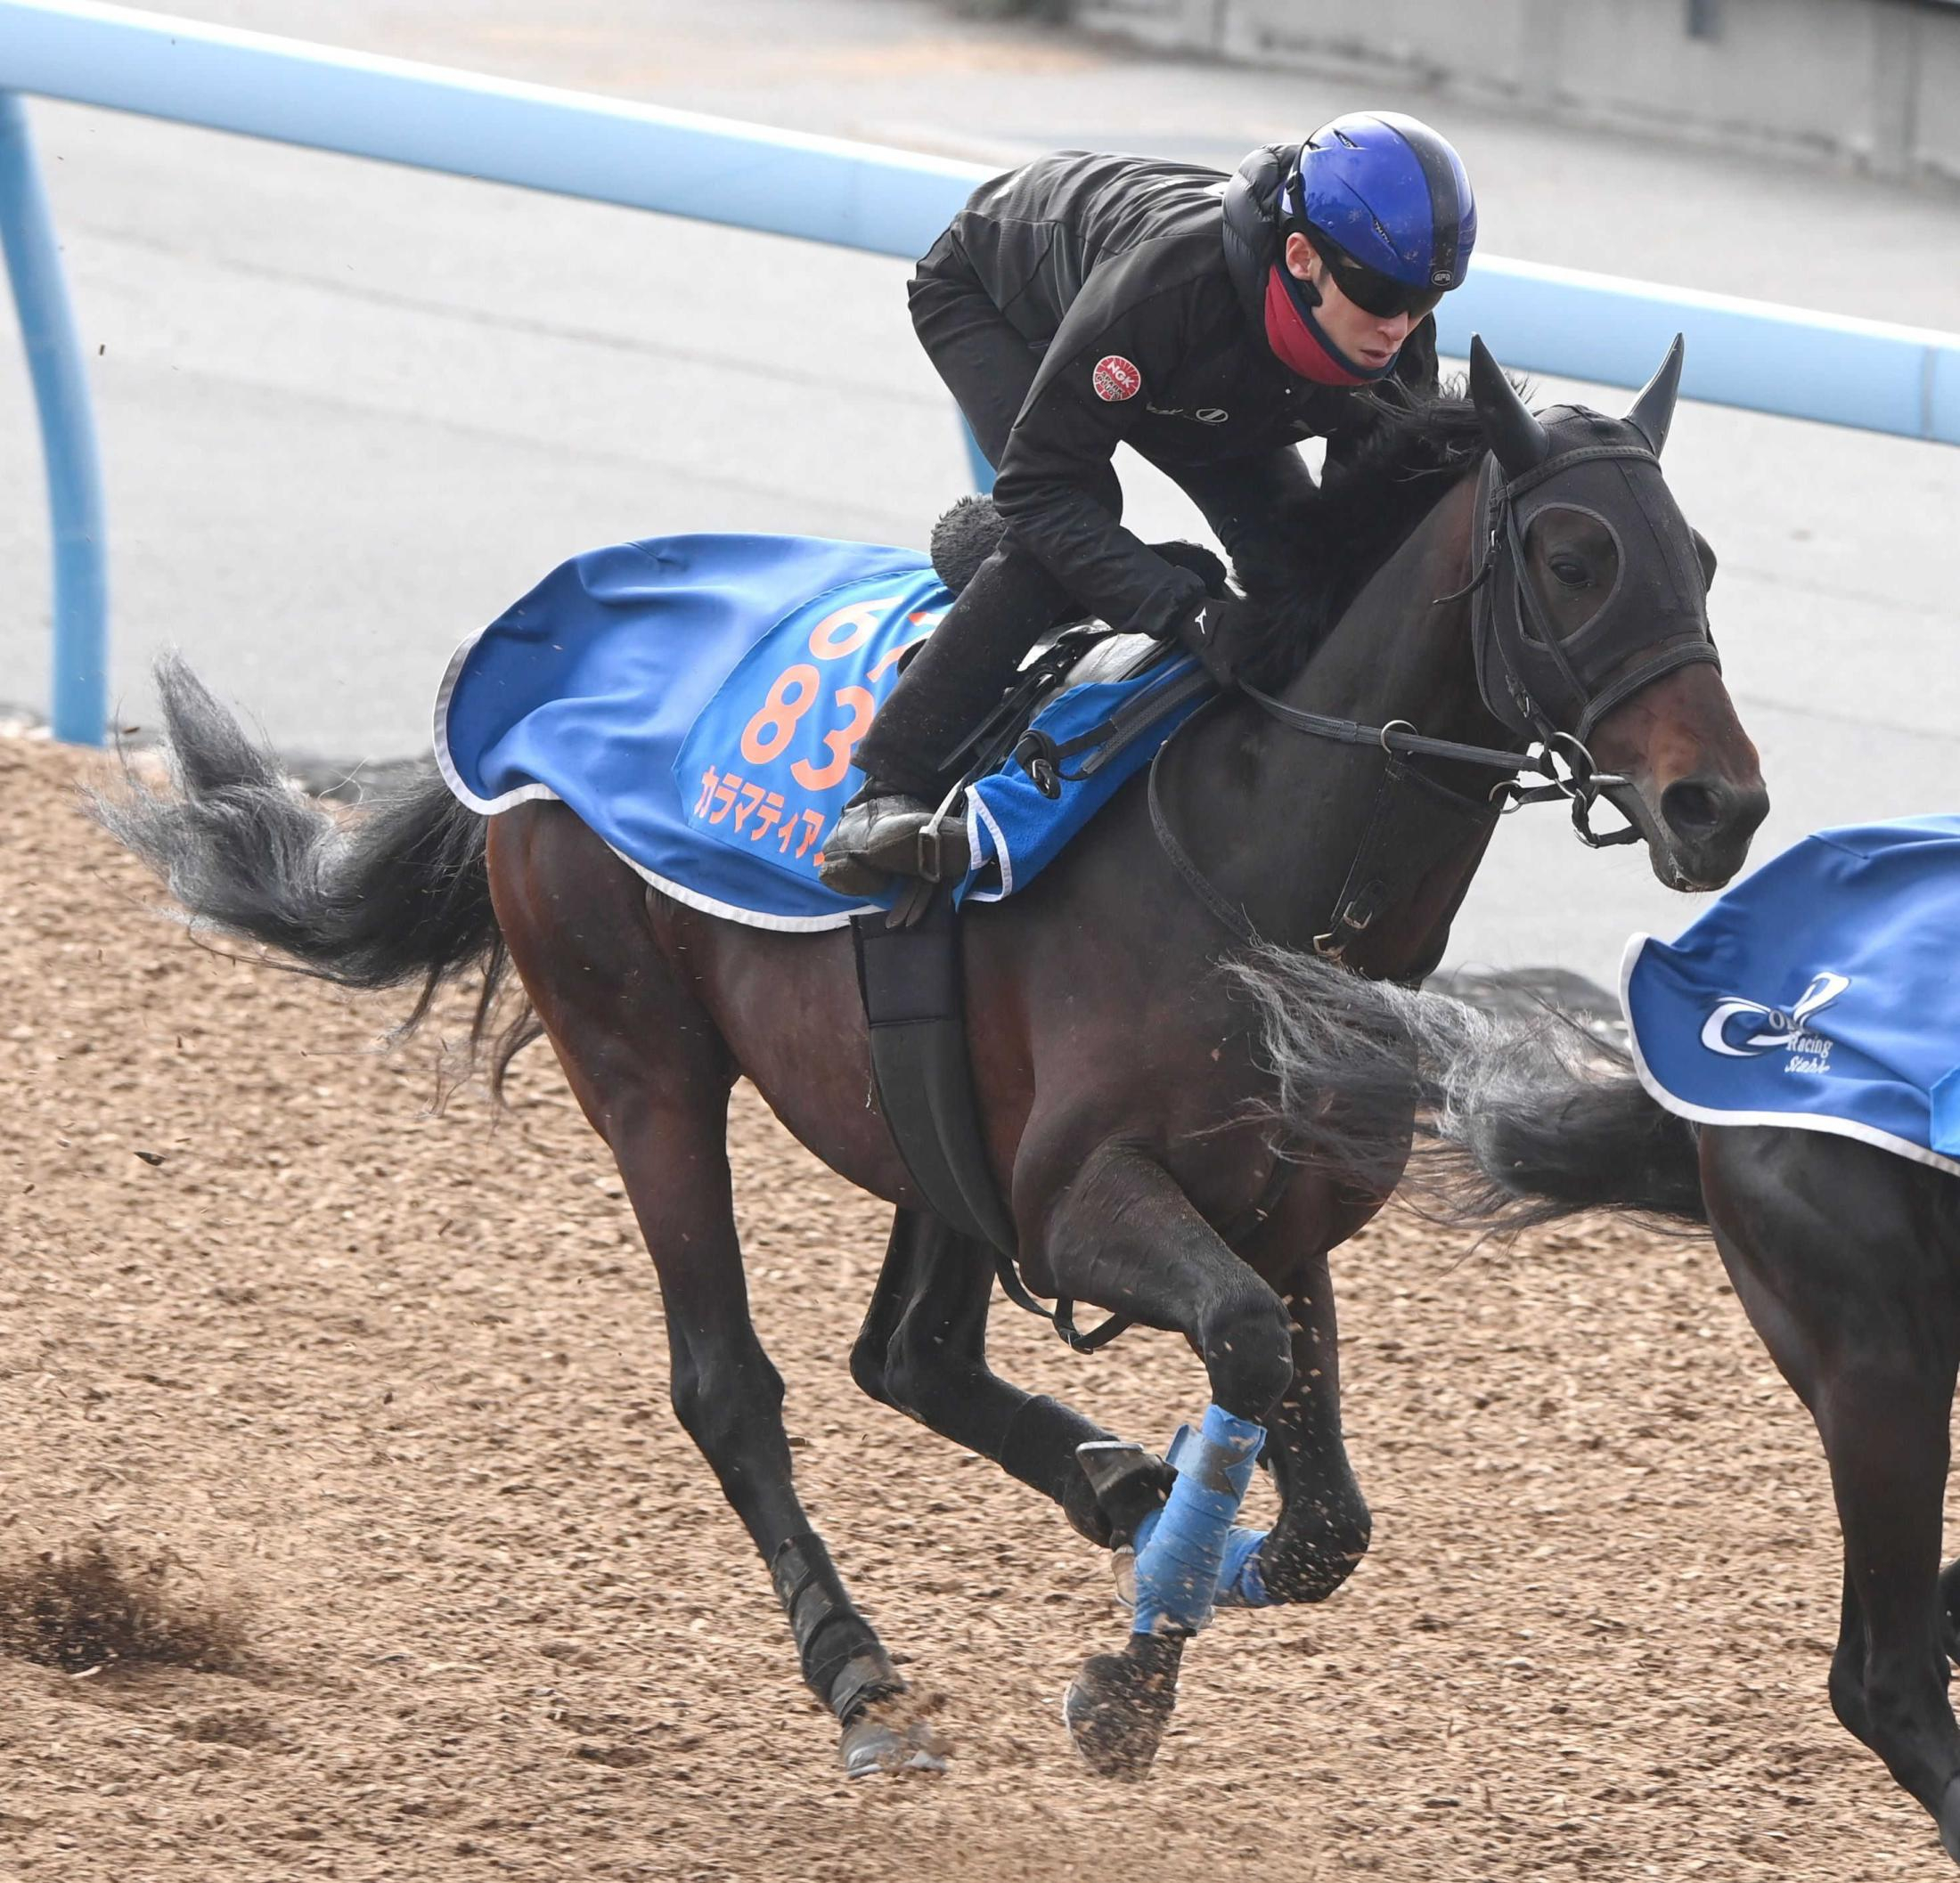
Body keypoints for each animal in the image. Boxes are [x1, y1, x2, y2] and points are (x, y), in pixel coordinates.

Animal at [96, 337, 1768, 1780]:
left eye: (1700, 559)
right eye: (1572, 557)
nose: (1722, 807)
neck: (1263, 868)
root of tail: (538, 642)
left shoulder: (1284, 1215)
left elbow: (1324, 1520)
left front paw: (1166, 1555)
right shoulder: (1079, 1197)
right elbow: (1237, 1350)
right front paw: (1133, 1665)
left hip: (921, 1121)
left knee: (909, 1351)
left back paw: (1110, 1478)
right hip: (642, 1061)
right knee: (727, 1378)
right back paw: (864, 1672)